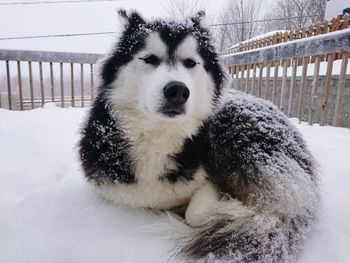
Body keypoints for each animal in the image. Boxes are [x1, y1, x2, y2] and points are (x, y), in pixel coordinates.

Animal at [79, 10, 320, 263]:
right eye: (150, 58)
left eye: (190, 62)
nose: (177, 91)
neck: (160, 134)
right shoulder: (114, 189)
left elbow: (196, 214)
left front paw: (224, 209)